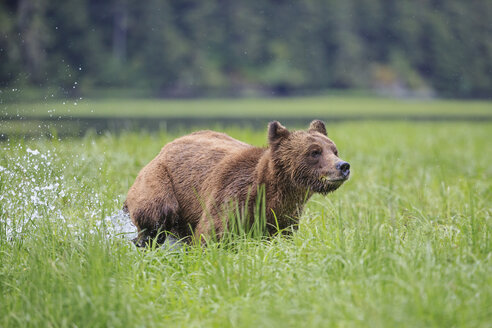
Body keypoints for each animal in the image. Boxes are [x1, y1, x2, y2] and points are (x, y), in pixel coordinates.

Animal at [125, 119, 352, 245]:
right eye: (314, 152)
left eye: (334, 150)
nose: (343, 166)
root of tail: (168, 145)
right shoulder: (234, 195)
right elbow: (213, 234)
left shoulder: (284, 215)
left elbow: (282, 236)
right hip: (160, 179)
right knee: (156, 213)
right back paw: (143, 240)